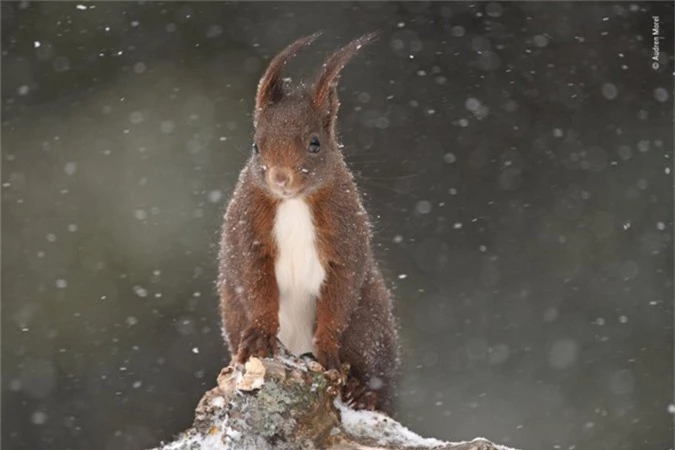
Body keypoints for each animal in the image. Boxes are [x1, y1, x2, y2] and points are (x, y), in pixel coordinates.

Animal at [217, 30, 398, 412]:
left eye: (315, 143)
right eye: (256, 146)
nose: (280, 178)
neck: (294, 204)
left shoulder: (346, 236)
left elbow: (339, 294)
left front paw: (327, 350)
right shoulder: (247, 232)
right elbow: (256, 285)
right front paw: (259, 336)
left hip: (370, 323)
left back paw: (363, 391)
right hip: (232, 309)